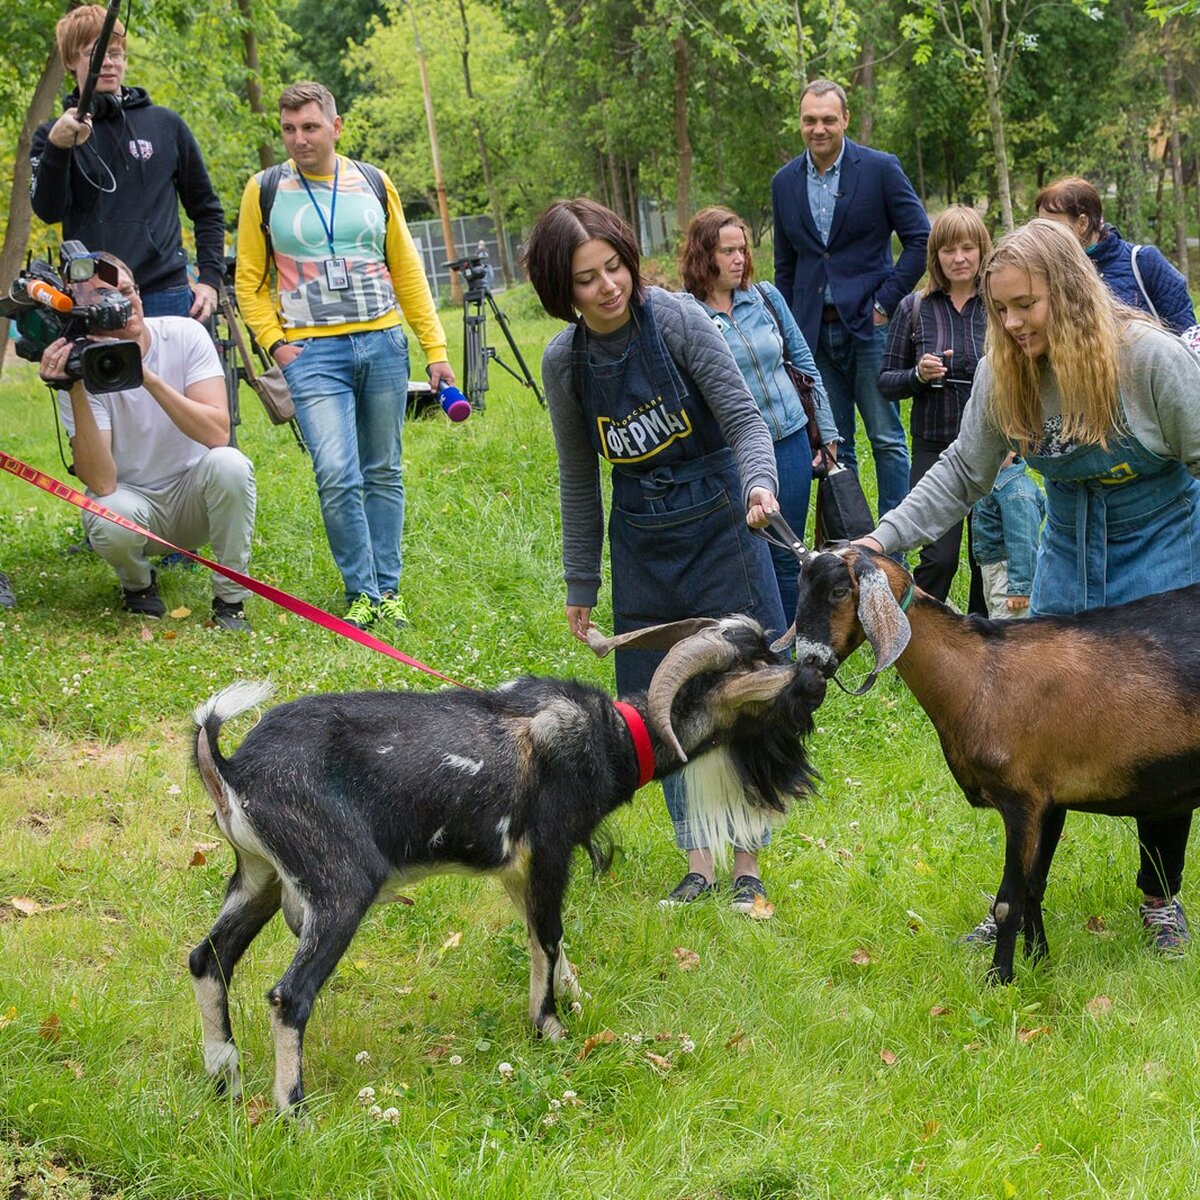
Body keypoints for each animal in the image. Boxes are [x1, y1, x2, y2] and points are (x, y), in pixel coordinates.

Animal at [189, 619, 825, 1113]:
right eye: (767, 667)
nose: (818, 675)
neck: (615, 737)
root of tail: (232, 769)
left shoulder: (516, 871)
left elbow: (547, 940)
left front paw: (575, 998)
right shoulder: (549, 851)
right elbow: (547, 937)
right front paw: (551, 1028)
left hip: (260, 876)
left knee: (207, 958)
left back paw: (225, 1079)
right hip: (338, 885)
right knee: (288, 996)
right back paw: (293, 1113)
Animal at [782, 544, 1200, 984]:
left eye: (839, 592)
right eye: (802, 588)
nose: (809, 665)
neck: (977, 675)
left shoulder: (1021, 801)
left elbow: (1007, 902)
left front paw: (1000, 979)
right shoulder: (1050, 801)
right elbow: (1034, 888)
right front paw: (1039, 963)